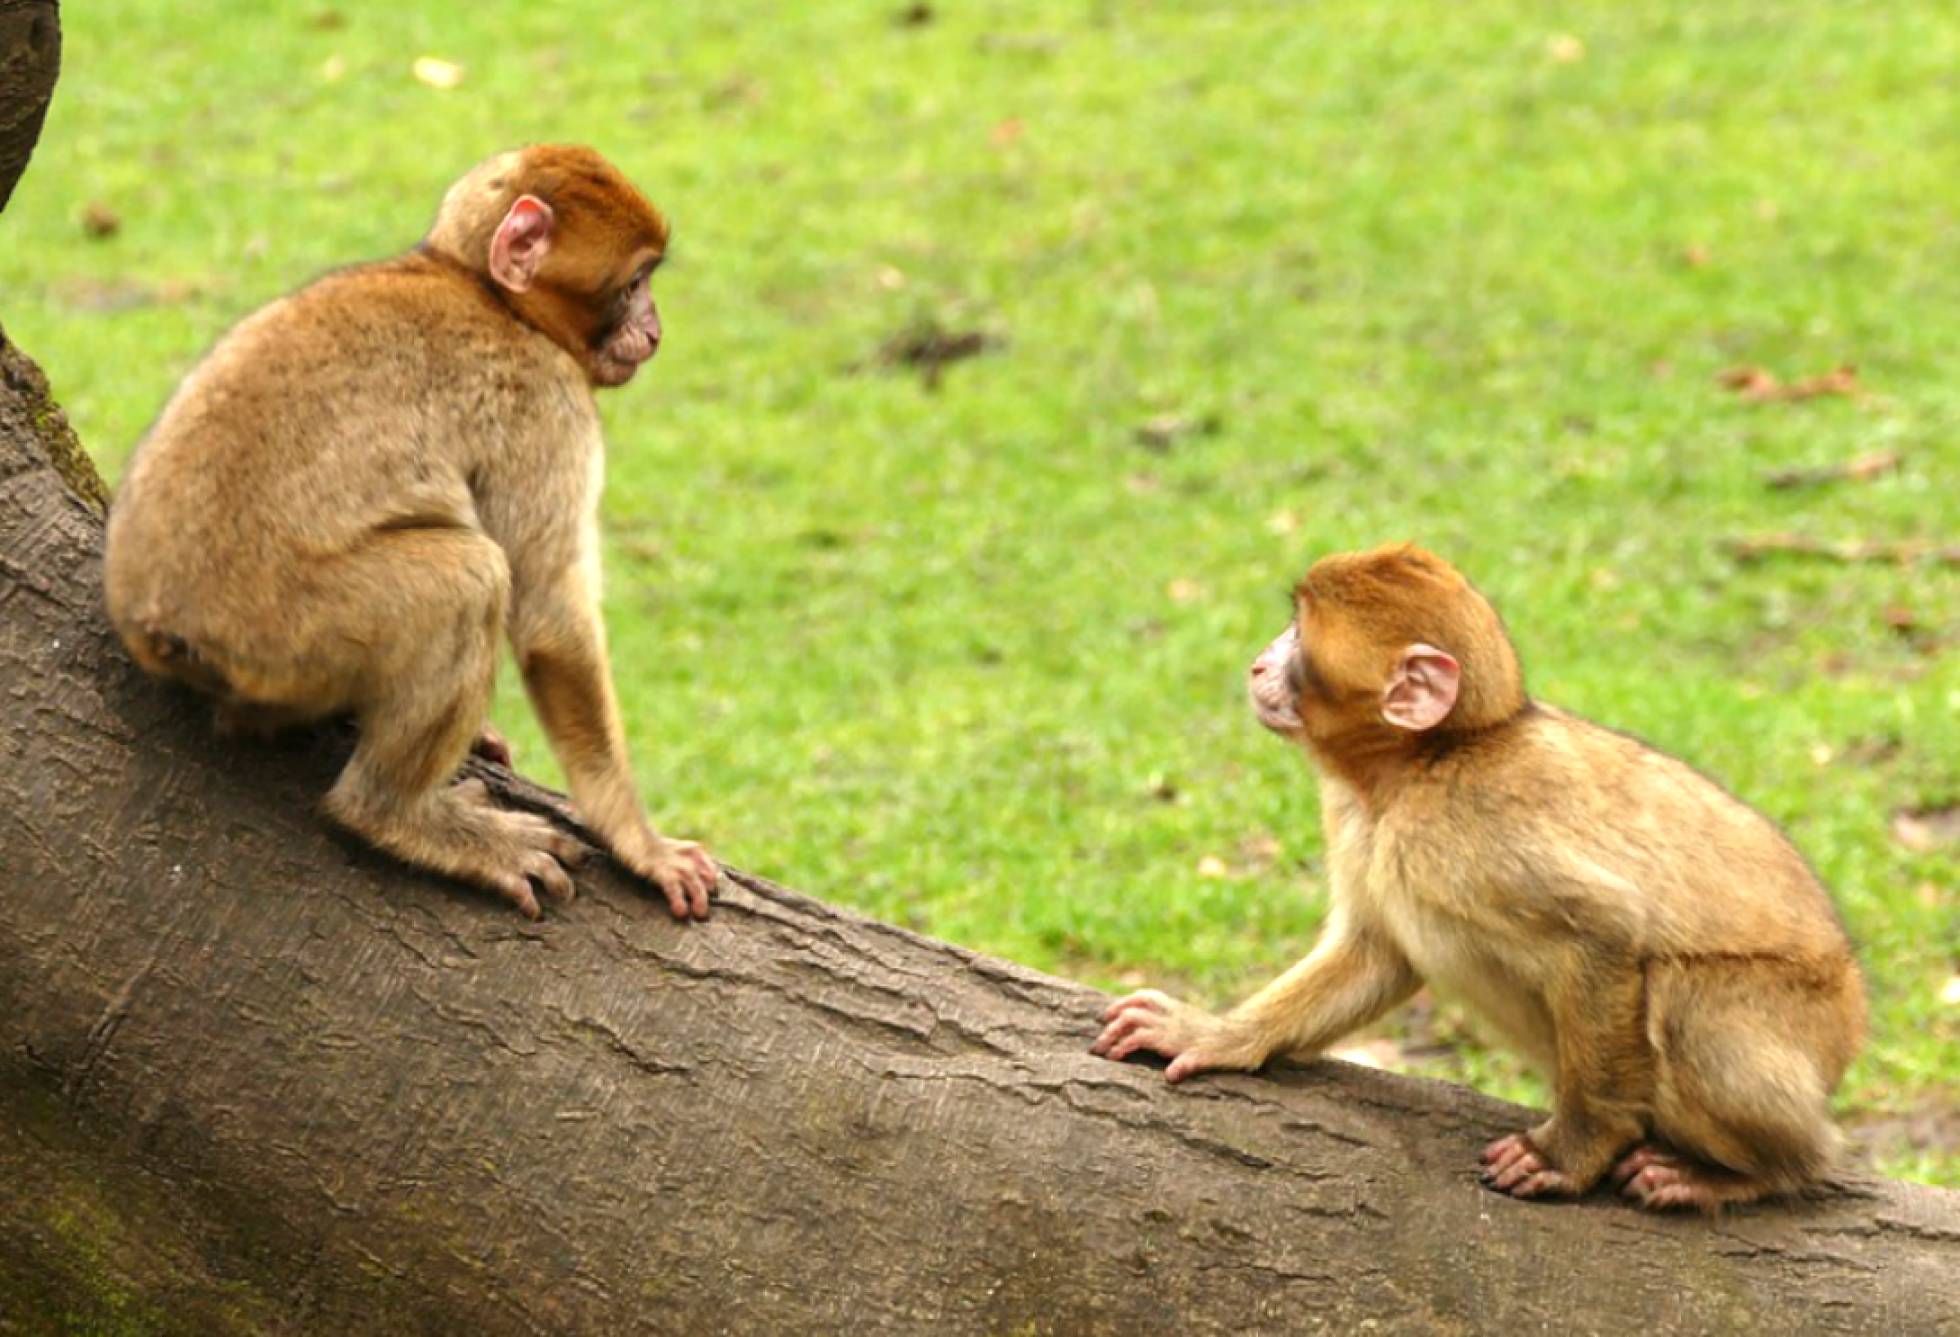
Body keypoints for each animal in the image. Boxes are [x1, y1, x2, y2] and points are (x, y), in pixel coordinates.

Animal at [99, 143, 721, 917]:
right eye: (635, 282)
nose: (656, 330)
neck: (483, 288)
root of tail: (151, 623)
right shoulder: (548, 403)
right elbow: (549, 615)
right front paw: (639, 840)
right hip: (284, 631)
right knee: (470, 578)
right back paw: (393, 814)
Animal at [1089, 541, 1865, 1207]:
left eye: (1300, 638)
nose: (1257, 664)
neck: (1422, 765)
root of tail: (1850, 1021)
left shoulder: (1469, 829)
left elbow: (1607, 934)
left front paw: (1574, 1152)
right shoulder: (1358, 817)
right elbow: (1379, 952)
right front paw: (1216, 1035)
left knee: (1685, 1002)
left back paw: (1765, 1170)